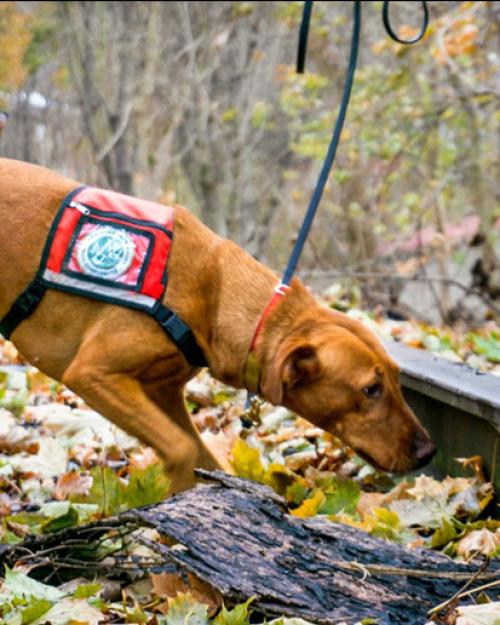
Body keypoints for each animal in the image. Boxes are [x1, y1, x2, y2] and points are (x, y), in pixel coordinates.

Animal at [0, 158, 436, 490]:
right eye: (371, 389)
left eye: (397, 379)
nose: (428, 452)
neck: (212, 291)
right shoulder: (92, 373)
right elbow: (182, 450)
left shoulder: (162, 393)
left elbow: (204, 457)